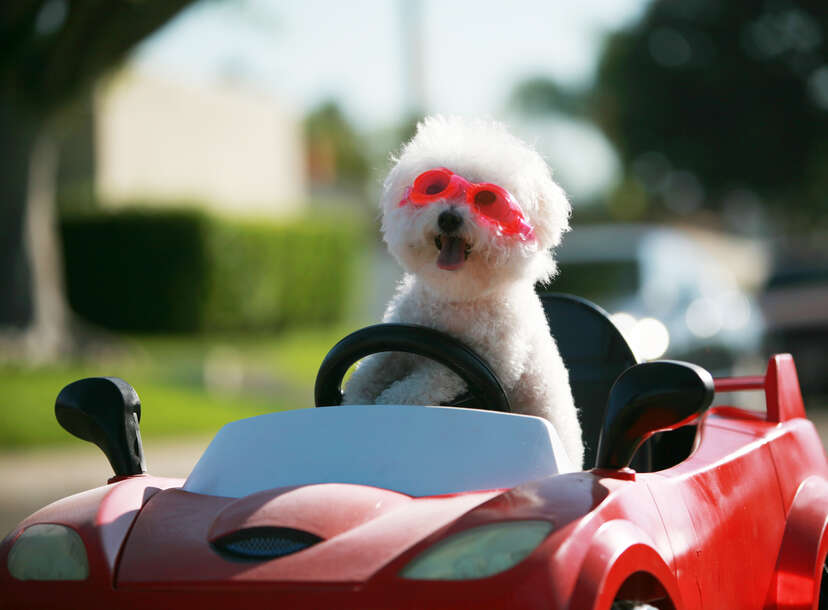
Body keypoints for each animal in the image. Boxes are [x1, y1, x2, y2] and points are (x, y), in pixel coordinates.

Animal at [342, 115, 584, 466]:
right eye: (433, 188)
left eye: (487, 201)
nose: (449, 218)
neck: (458, 297)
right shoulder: (405, 337)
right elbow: (370, 367)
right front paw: (353, 400)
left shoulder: (484, 361)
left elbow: (425, 381)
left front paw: (390, 401)